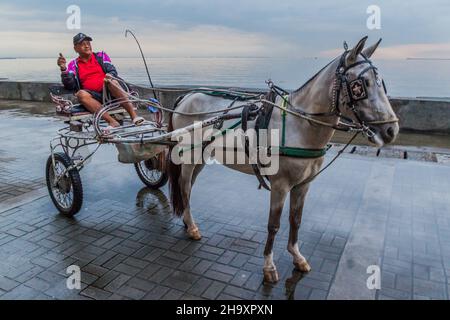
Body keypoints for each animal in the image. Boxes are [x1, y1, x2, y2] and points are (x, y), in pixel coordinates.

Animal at [164, 36, 398, 284]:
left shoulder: (303, 185)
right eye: (360, 85)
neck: (301, 124)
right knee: (184, 186)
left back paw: (187, 220)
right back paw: (192, 227)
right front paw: (268, 265)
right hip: (189, 156)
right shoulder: (280, 185)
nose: (391, 130)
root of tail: (186, 97)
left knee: (188, 186)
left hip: (201, 156)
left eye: (381, 83)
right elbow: (274, 225)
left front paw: (297, 256)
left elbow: (296, 220)